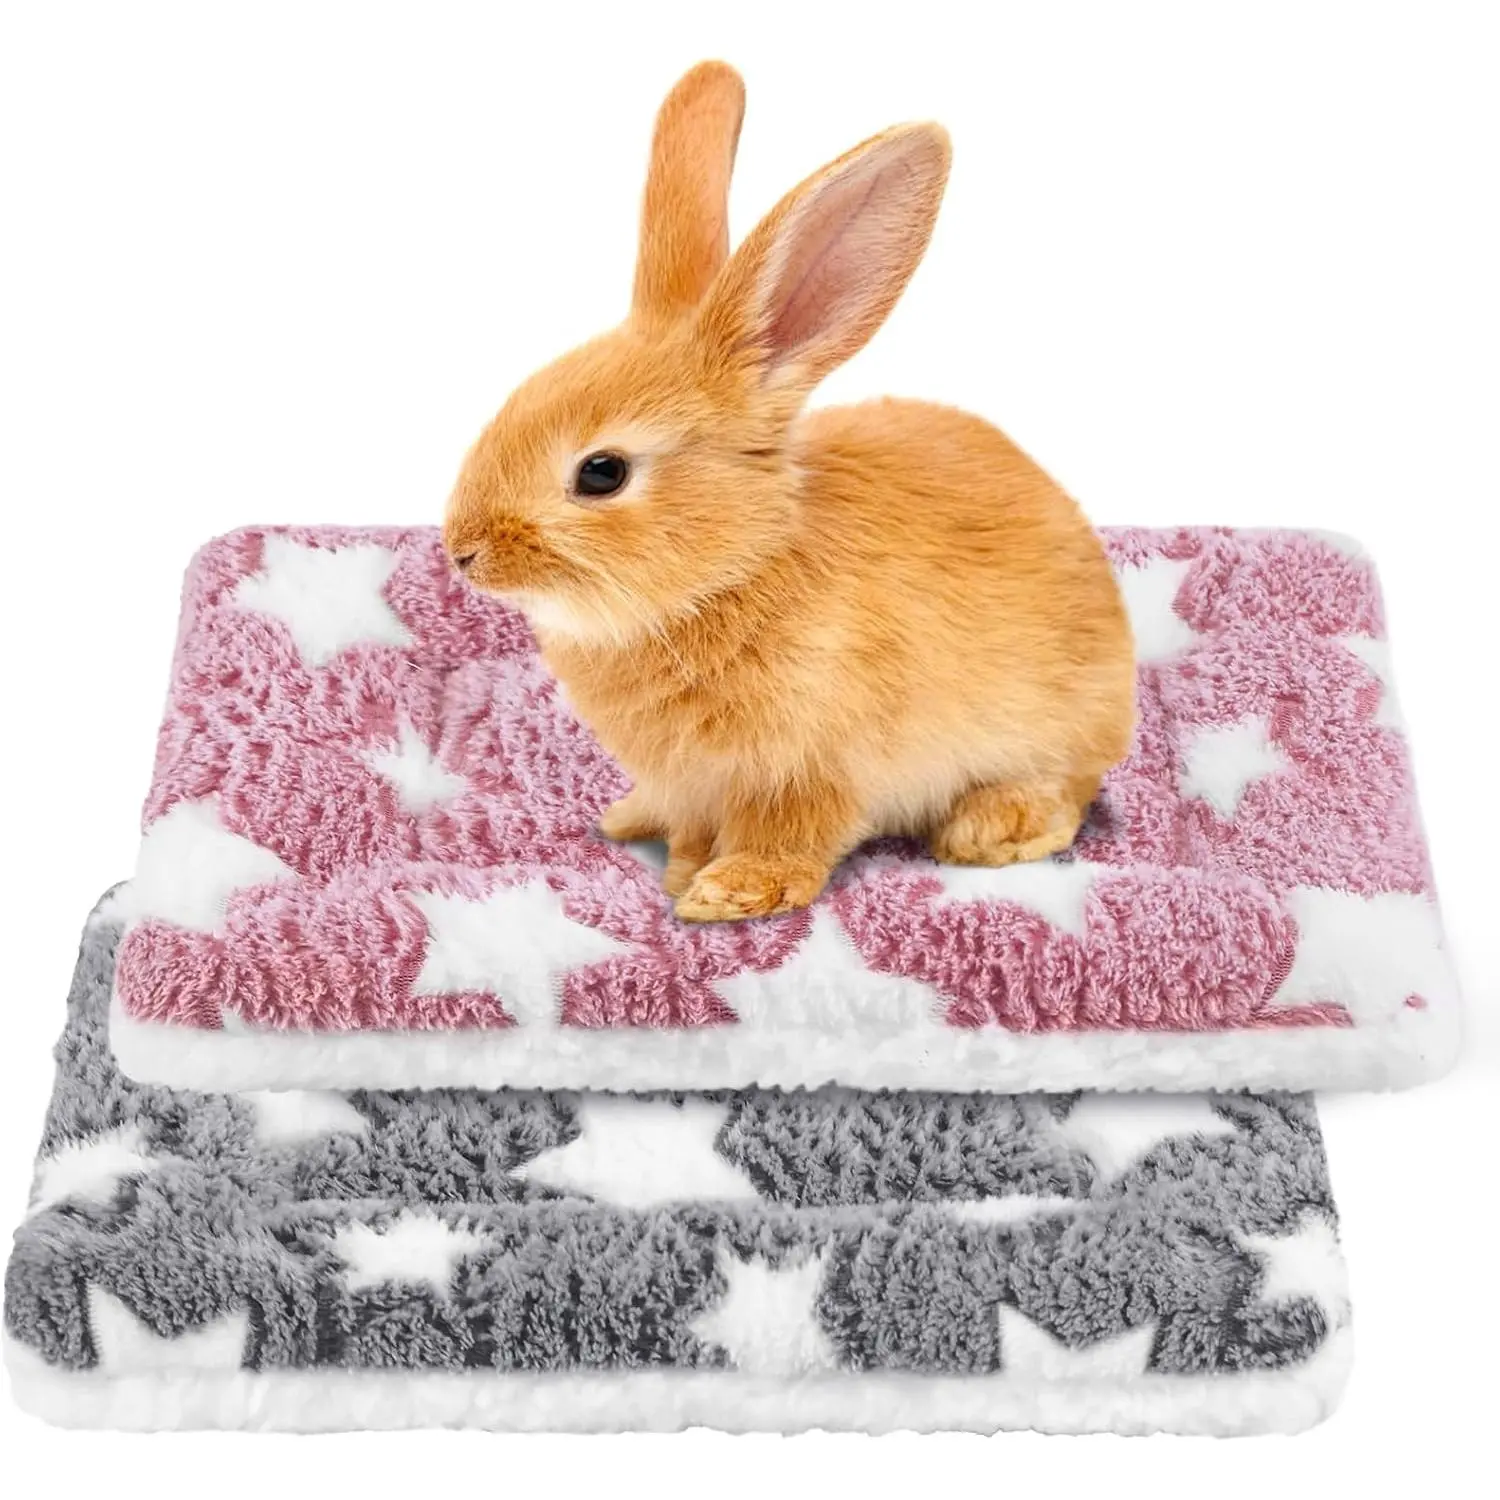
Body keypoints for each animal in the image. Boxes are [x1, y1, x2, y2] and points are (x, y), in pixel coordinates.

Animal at [443, 61, 1135, 923]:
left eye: (602, 472)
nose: (462, 551)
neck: (735, 566)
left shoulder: (811, 766)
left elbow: (793, 835)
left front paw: (726, 893)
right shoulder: (700, 783)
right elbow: (694, 824)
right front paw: (683, 865)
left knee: (1064, 790)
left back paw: (990, 828)